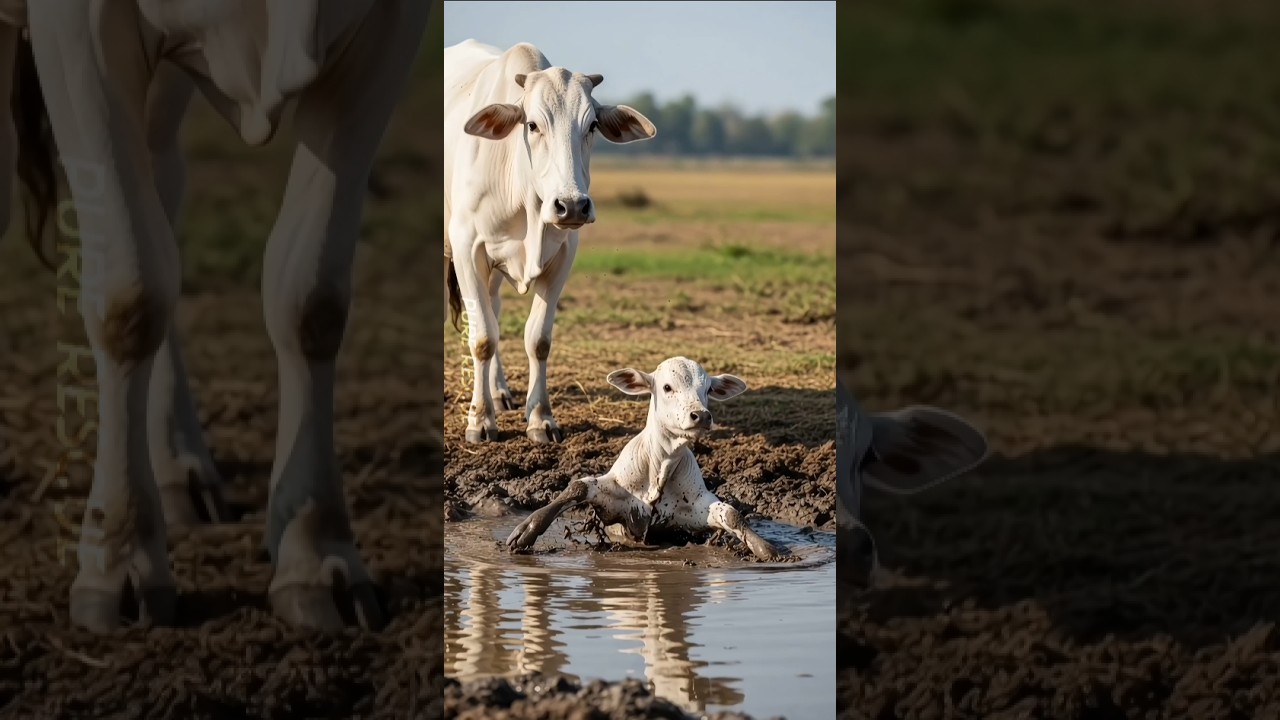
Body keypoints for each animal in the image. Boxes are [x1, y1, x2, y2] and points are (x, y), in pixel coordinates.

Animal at [0, 0, 429, 634]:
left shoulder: (390, 27)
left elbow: (311, 297)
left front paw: (314, 553)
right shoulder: (77, 25)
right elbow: (129, 297)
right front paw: (120, 558)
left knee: (162, 188)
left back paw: (177, 465)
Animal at [443, 39, 657, 444]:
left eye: (592, 125)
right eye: (531, 124)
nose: (571, 204)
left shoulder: (562, 256)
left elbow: (537, 339)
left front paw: (540, 418)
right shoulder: (466, 248)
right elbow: (482, 338)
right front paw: (480, 420)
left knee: (495, 308)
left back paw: (499, 391)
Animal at [505, 357, 785, 561]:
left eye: (708, 389)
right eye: (667, 387)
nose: (701, 415)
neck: (660, 466)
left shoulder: (690, 514)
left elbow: (731, 513)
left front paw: (766, 548)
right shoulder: (616, 502)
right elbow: (578, 486)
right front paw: (526, 530)